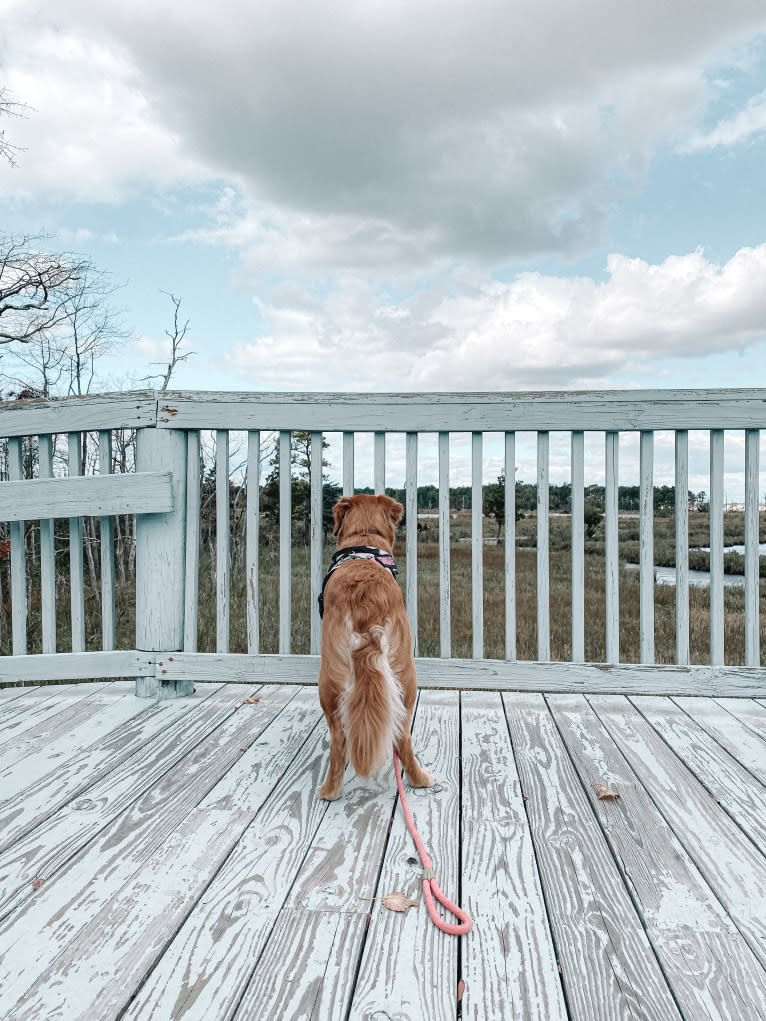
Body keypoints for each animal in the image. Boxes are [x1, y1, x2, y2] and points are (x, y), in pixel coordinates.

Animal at [318, 494, 435, 796]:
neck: (364, 537)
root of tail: (366, 605)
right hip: (406, 678)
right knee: (401, 736)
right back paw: (420, 779)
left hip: (331, 681)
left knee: (340, 738)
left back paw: (330, 791)